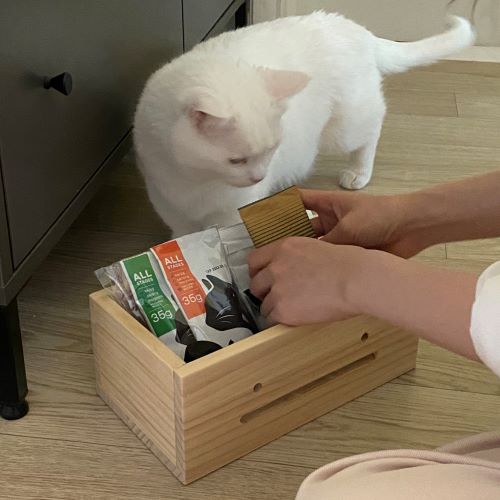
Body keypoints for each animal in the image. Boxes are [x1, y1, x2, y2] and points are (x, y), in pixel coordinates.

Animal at [133, 12, 474, 238]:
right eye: (236, 160)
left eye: (272, 151)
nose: (259, 177)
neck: (197, 179)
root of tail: (356, 28)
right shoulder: (169, 204)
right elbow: (183, 238)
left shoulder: (234, 211)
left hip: (344, 128)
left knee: (372, 130)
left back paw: (358, 173)